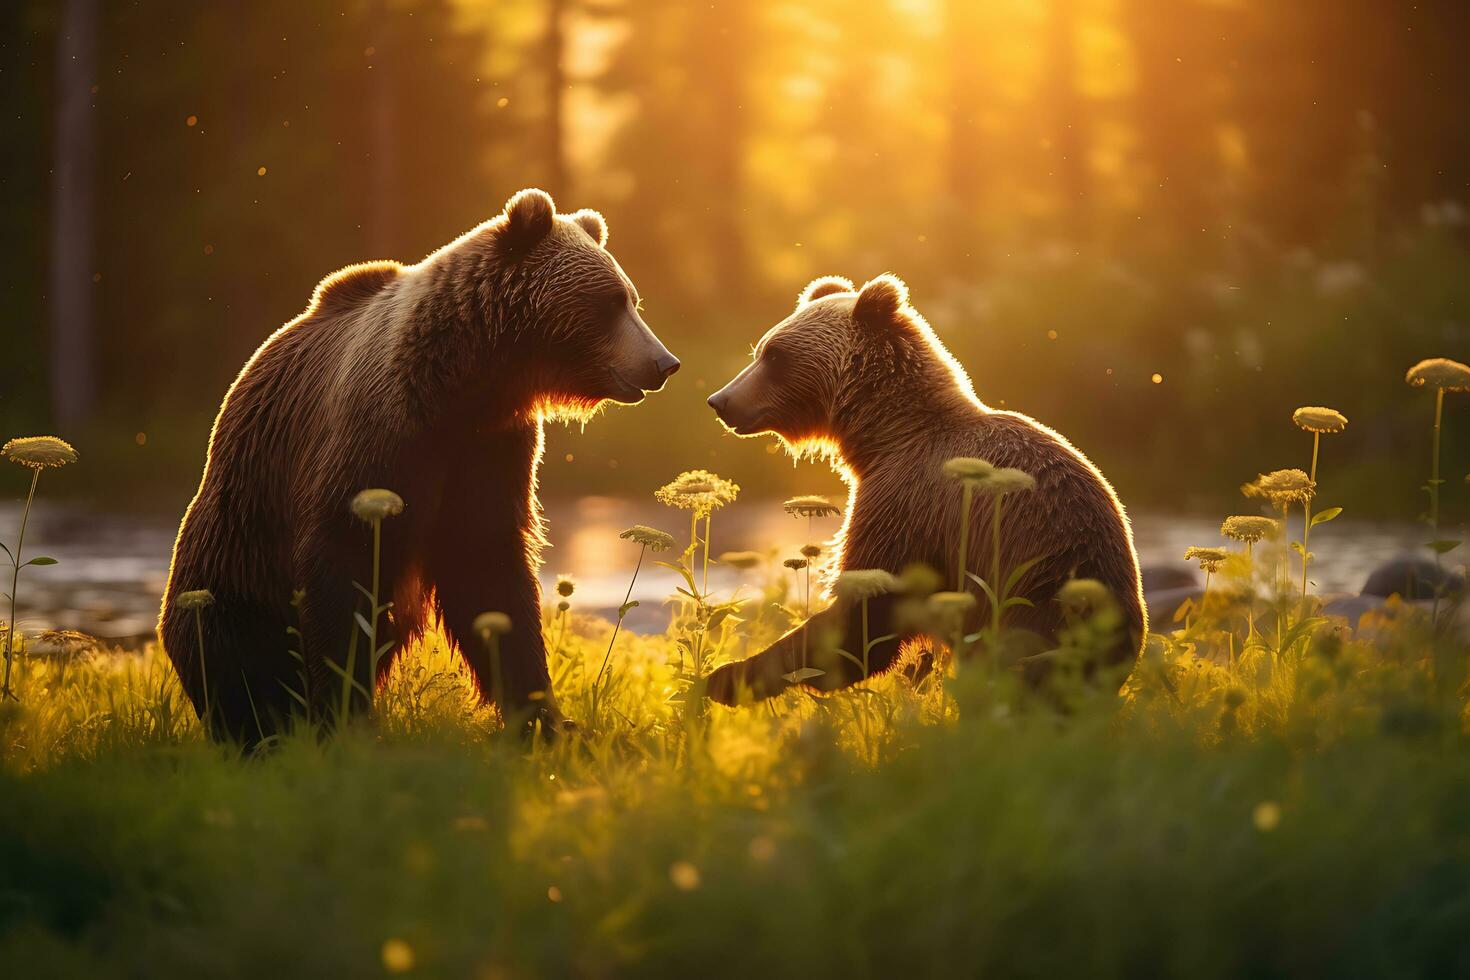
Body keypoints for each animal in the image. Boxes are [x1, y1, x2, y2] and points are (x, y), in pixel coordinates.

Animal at [159, 188, 676, 740]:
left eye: (632, 298)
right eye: (612, 301)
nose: (664, 362)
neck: (465, 382)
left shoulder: (488, 447)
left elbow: (489, 565)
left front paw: (547, 718)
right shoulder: (384, 436)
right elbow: (344, 563)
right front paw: (341, 712)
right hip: (235, 545)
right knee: (228, 647)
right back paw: (258, 724)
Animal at [705, 271, 1140, 708]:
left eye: (775, 355)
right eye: (761, 349)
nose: (720, 400)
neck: (885, 433)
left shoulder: (906, 503)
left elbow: (864, 622)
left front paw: (724, 677)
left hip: (1033, 601)